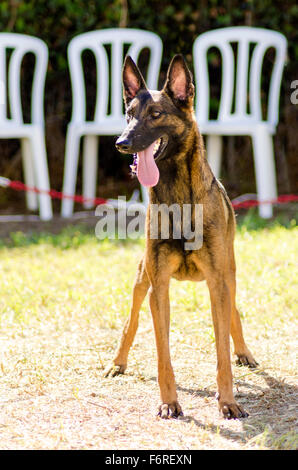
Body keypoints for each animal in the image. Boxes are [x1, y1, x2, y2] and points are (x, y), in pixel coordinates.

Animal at [105, 54, 258, 418]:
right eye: (129, 113)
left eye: (155, 115)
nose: (121, 143)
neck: (176, 194)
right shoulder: (158, 288)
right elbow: (163, 354)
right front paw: (169, 402)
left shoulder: (218, 283)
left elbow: (222, 350)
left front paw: (228, 401)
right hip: (141, 279)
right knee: (131, 321)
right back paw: (118, 362)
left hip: (228, 273)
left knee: (233, 313)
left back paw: (244, 351)